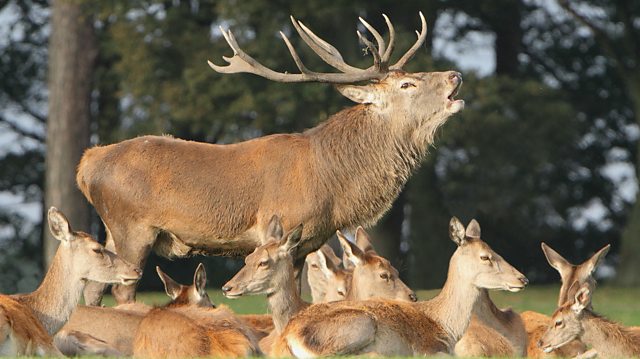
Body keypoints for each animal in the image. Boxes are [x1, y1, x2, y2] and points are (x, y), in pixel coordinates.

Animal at [77, 12, 464, 308]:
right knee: (121, 289)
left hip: (112, 232)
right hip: (132, 228)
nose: (455, 75)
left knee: (96, 285)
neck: (333, 185)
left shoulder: (307, 243)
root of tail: (87, 163)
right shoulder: (278, 227)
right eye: (407, 85)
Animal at [228, 217, 528, 358]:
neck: (445, 325)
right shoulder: (431, 349)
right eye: (486, 257)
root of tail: (287, 337)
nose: (522, 278)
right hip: (360, 324)